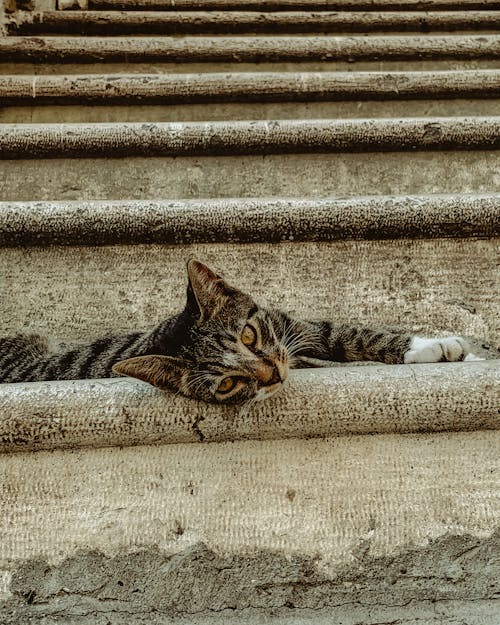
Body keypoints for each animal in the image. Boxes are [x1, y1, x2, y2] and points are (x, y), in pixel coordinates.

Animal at [0, 258, 476, 404]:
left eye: (248, 336)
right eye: (227, 384)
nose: (273, 375)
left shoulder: (287, 324)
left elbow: (344, 332)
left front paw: (435, 345)